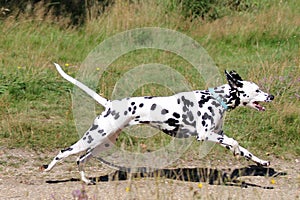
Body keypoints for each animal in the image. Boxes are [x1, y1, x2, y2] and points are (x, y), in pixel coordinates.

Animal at [41, 63, 274, 184]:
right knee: (64, 152)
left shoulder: (219, 135)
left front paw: (261, 162)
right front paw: (237, 154)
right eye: (256, 90)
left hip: (103, 142)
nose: (271, 96)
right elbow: (235, 143)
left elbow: (245, 150)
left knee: (80, 159)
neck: (215, 98)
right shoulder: (206, 135)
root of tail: (110, 104)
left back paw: (86, 181)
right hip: (93, 137)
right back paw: (47, 170)